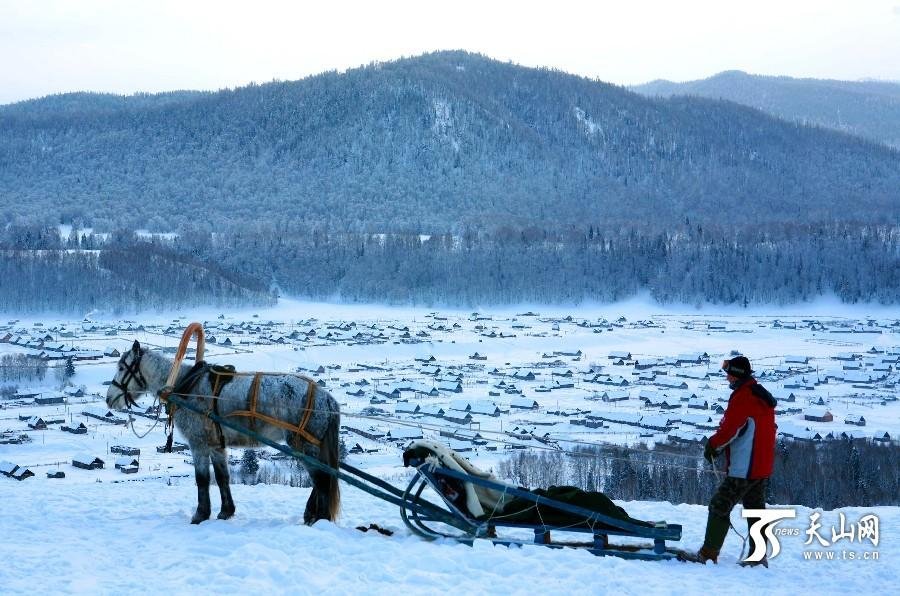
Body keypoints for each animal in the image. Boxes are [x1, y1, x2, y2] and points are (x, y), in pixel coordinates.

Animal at [108, 340, 342, 528]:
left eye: (121, 367)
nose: (109, 398)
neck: (186, 386)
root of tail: (327, 399)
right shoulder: (216, 445)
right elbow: (222, 478)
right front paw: (226, 512)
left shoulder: (198, 443)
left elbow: (202, 479)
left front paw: (200, 515)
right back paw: (311, 515)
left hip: (303, 444)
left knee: (321, 480)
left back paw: (318, 518)